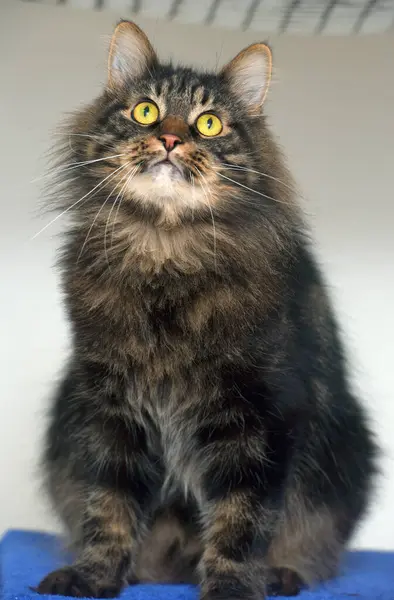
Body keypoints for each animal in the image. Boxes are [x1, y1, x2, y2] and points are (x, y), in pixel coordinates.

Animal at [35, 18, 378, 600]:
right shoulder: (111, 410)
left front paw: (233, 585)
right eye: (145, 111)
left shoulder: (258, 415)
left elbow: (242, 518)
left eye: (209, 123)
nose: (171, 139)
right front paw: (95, 576)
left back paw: (283, 575)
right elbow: (108, 508)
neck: (165, 250)